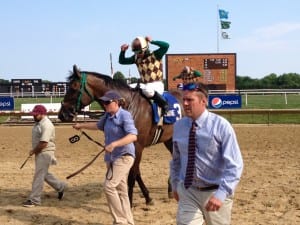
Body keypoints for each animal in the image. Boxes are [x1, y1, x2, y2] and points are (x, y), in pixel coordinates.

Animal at [57, 64, 182, 206]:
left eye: (74, 87)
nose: (62, 114)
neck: (128, 105)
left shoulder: (138, 146)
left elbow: (132, 175)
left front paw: (130, 203)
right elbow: (136, 173)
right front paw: (147, 197)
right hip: (169, 139)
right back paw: (171, 189)